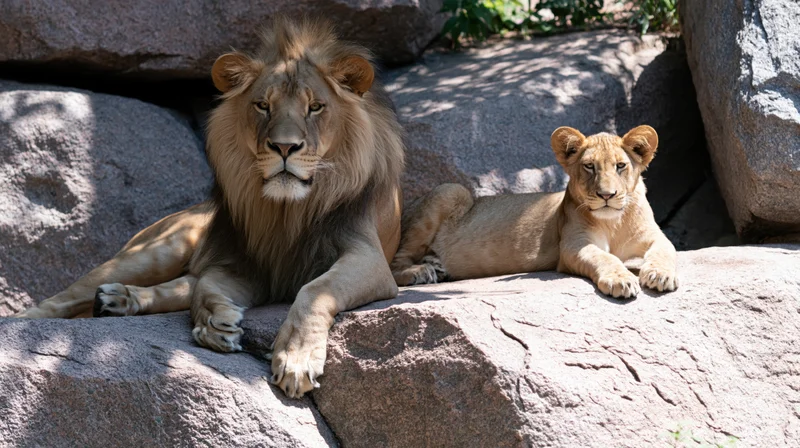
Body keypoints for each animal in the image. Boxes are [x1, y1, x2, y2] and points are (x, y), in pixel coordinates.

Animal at [15, 18, 405, 399]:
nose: (283, 147)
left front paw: (296, 358)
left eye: (315, 107)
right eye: (263, 106)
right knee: (60, 300)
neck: (287, 210)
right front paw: (215, 325)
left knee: (175, 287)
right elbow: (204, 288)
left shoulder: (369, 258)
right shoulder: (244, 263)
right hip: (163, 246)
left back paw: (119, 299)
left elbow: (313, 290)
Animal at [391, 125, 678, 299]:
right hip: (450, 190)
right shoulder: (573, 246)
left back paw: (436, 266)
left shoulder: (654, 235)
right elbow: (604, 258)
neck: (614, 223)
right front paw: (621, 281)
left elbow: (666, 251)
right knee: (395, 262)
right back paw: (420, 272)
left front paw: (661, 275)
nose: (606, 195)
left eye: (620, 166)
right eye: (589, 167)